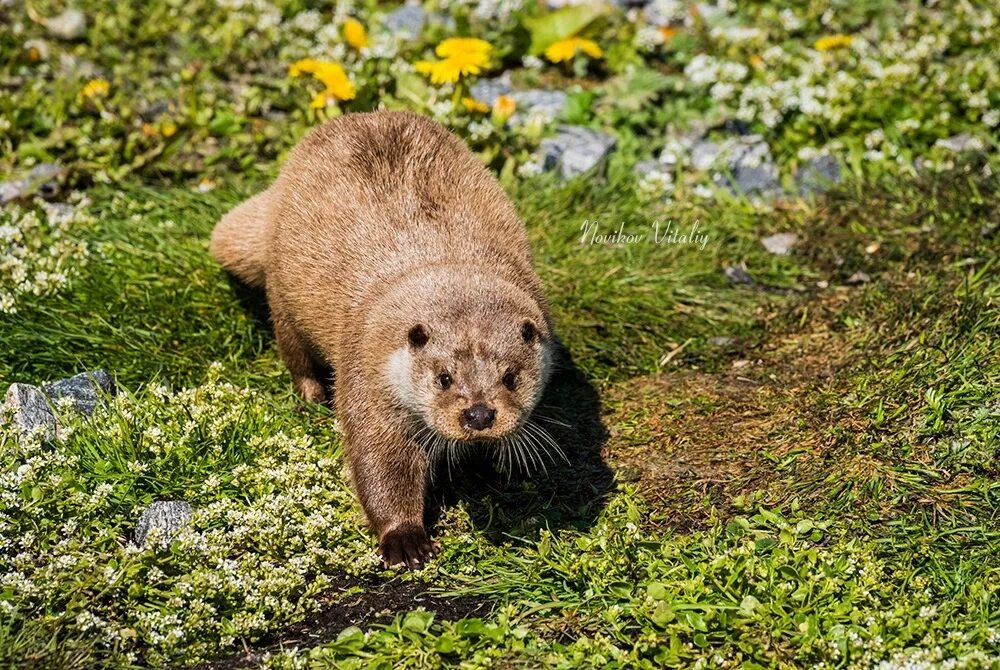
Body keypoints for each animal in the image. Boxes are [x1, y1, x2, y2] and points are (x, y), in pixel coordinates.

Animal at [212, 111, 560, 572]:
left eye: (510, 378)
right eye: (444, 378)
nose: (479, 415)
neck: (440, 259)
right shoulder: (368, 372)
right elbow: (380, 462)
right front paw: (405, 540)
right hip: (284, 295)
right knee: (292, 347)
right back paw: (311, 394)